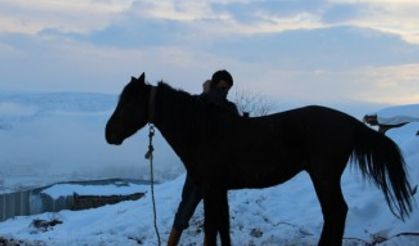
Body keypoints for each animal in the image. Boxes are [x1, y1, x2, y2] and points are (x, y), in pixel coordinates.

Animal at [105, 73, 414, 246]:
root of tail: (348, 122)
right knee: (334, 213)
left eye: (129, 102)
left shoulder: (211, 188)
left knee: (336, 212)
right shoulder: (217, 189)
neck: (204, 131)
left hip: (323, 176)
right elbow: (222, 227)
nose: (109, 134)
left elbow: (211, 229)